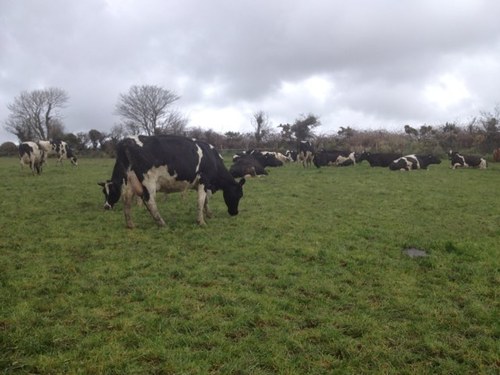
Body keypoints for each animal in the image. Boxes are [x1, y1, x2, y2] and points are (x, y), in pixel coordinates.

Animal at [98, 135, 245, 229]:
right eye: (239, 195)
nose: (235, 213)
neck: (213, 158)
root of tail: (126, 141)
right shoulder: (204, 181)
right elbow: (201, 201)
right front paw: (201, 222)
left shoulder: (202, 184)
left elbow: (205, 201)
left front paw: (208, 214)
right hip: (149, 181)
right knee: (149, 201)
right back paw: (162, 223)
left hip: (129, 182)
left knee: (126, 199)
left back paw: (130, 224)